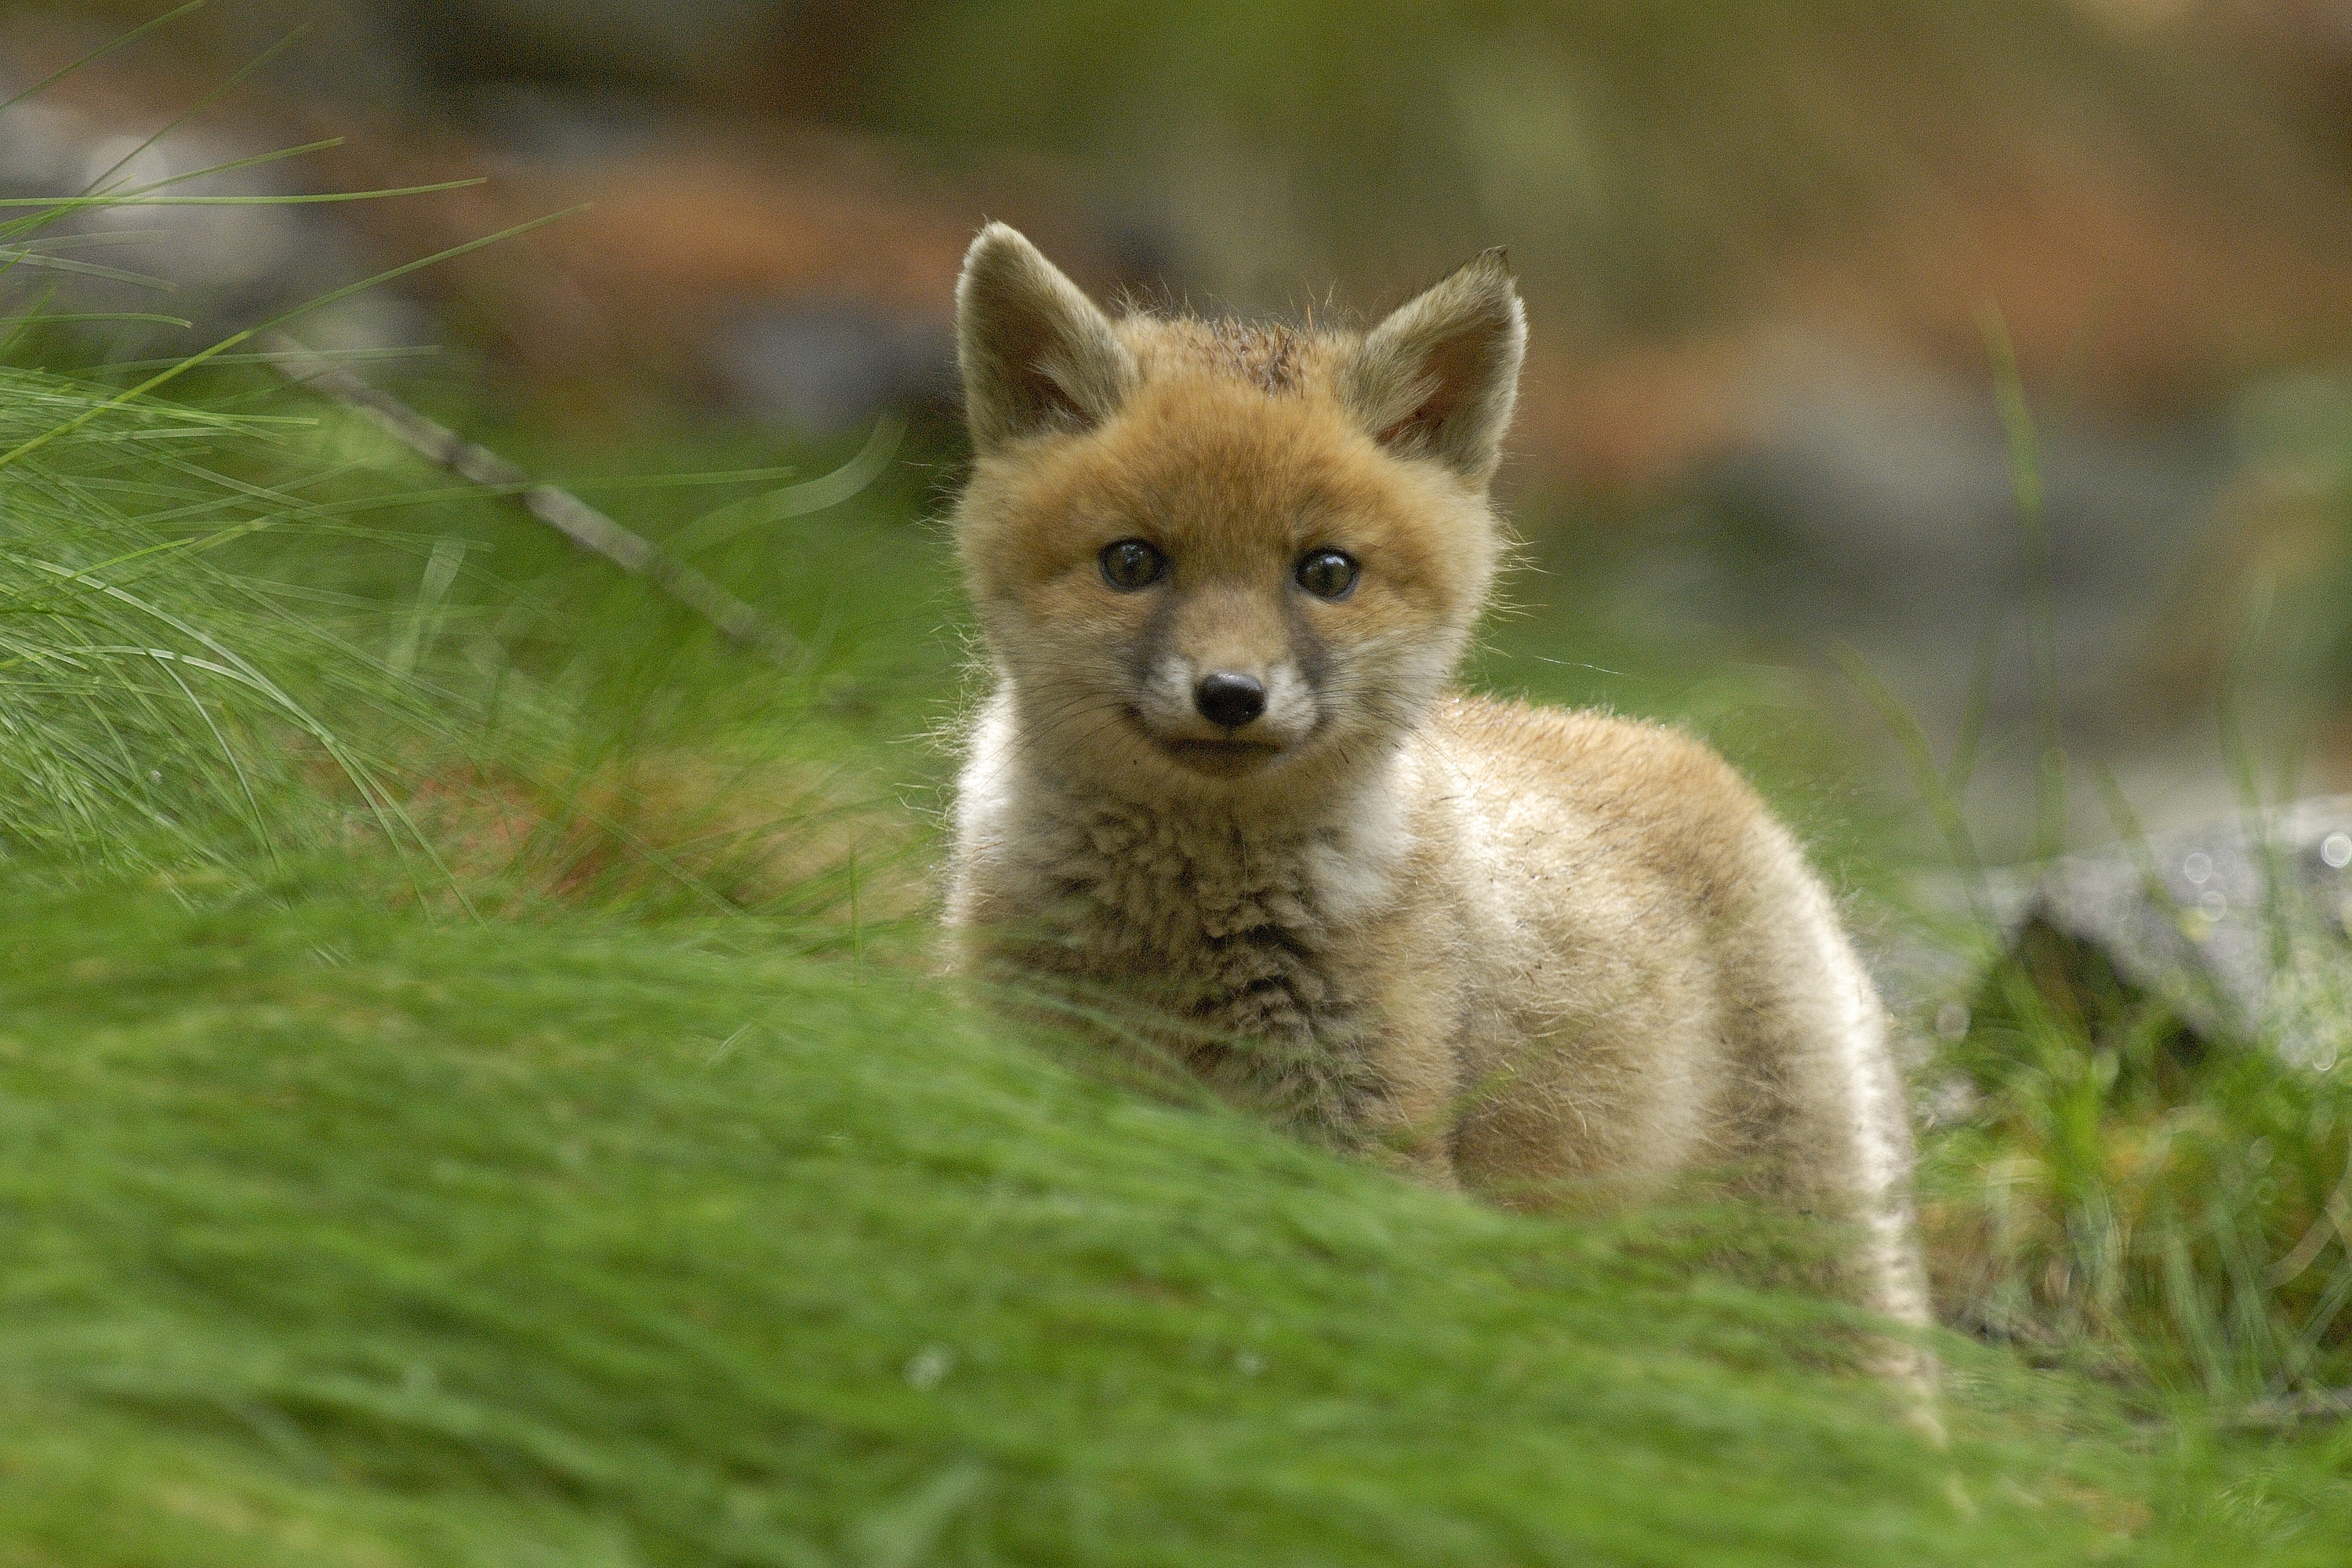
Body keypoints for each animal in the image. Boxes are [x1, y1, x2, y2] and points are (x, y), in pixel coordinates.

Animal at [941, 222, 1932, 1348]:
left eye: (1326, 573)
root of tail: (1718, 775)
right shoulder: (1043, 1079)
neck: (1183, 922)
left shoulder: (1364, 1134)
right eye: (1131, 562)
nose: (1230, 695)